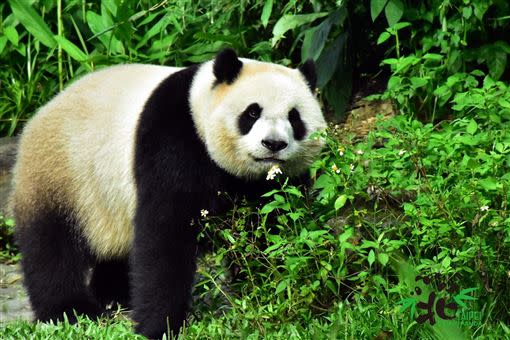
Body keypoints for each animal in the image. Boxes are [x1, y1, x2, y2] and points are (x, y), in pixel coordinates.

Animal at [10, 49, 326, 338]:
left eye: (294, 118)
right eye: (252, 112)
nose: (273, 144)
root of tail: (39, 115)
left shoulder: (273, 184)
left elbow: (269, 228)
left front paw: (263, 290)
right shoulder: (174, 140)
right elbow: (165, 235)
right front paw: (158, 326)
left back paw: (114, 296)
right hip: (61, 175)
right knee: (51, 247)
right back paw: (69, 310)